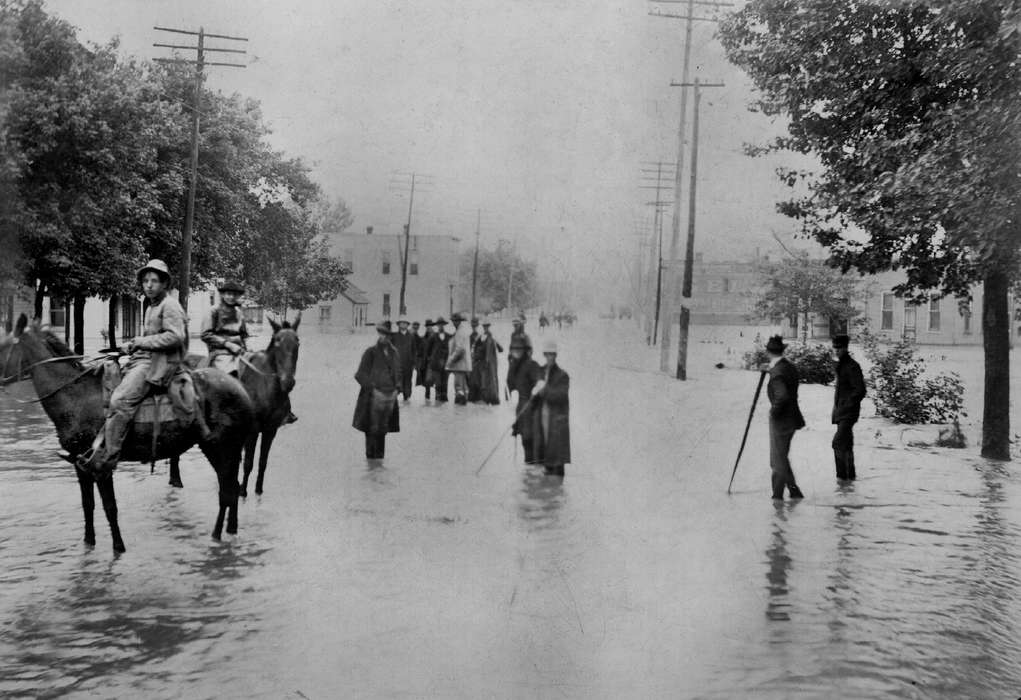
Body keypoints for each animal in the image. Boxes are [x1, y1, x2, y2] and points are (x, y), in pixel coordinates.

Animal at [0, 316, 255, 555]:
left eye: (2, 346)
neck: (77, 397)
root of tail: (242, 390)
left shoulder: (100, 467)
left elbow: (110, 508)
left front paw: (118, 547)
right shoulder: (80, 466)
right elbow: (88, 505)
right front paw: (89, 543)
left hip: (220, 449)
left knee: (227, 491)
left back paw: (216, 535)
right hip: (228, 451)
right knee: (233, 488)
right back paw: (231, 530)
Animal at [169, 312, 298, 500]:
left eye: (297, 343)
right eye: (277, 342)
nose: (287, 382)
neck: (265, 384)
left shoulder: (270, 430)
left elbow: (263, 462)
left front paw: (258, 490)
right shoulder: (253, 431)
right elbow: (249, 462)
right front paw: (243, 491)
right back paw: (176, 480)